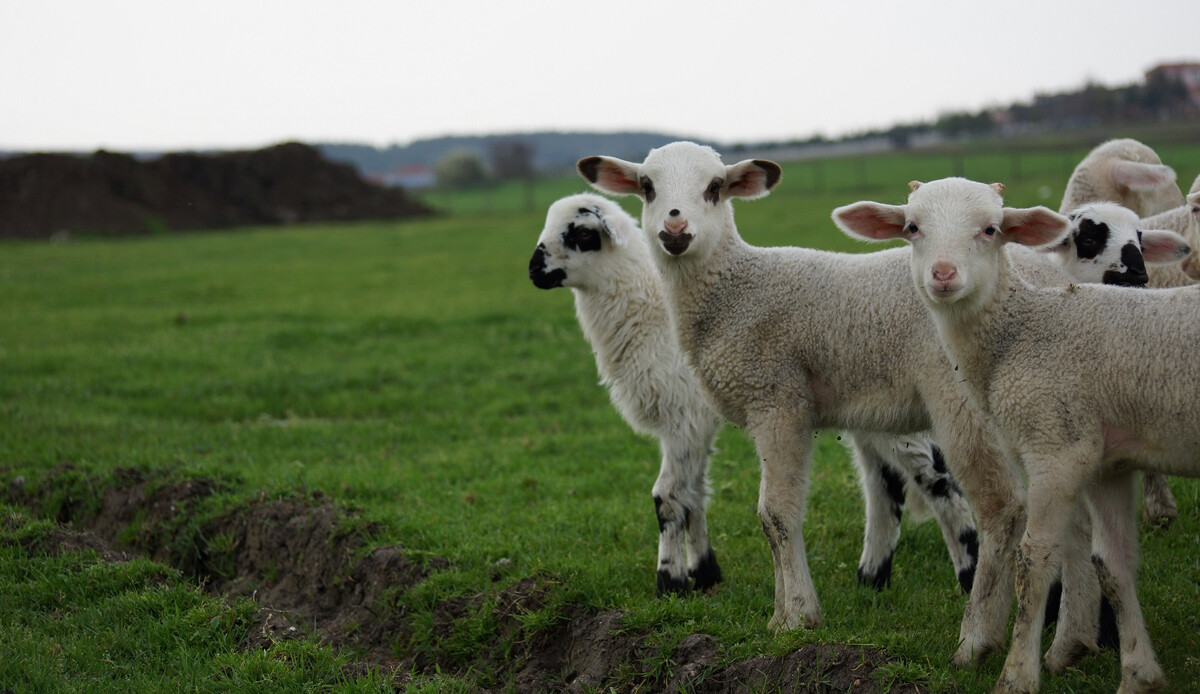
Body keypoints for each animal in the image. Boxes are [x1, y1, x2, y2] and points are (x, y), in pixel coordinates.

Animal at [530, 193, 979, 595]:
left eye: (582, 234)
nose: (534, 271)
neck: (650, 315)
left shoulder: (684, 418)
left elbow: (669, 498)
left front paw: (669, 582)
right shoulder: (695, 423)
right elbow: (695, 495)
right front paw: (704, 573)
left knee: (939, 483)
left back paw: (968, 576)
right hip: (872, 411)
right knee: (886, 487)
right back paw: (871, 579)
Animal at [576, 139, 1084, 657]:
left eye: (714, 187)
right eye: (646, 186)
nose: (675, 229)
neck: (733, 292)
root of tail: (1051, 281)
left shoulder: (778, 401)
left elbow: (776, 514)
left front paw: (795, 617)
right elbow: (759, 515)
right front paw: (781, 613)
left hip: (963, 402)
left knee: (1003, 507)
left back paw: (979, 637)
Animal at [835, 176, 1200, 691]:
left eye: (991, 229)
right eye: (911, 227)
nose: (943, 274)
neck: (1025, 326)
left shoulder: (1056, 449)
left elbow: (1035, 557)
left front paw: (1018, 671)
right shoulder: (1102, 461)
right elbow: (1110, 561)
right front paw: (1119, 664)